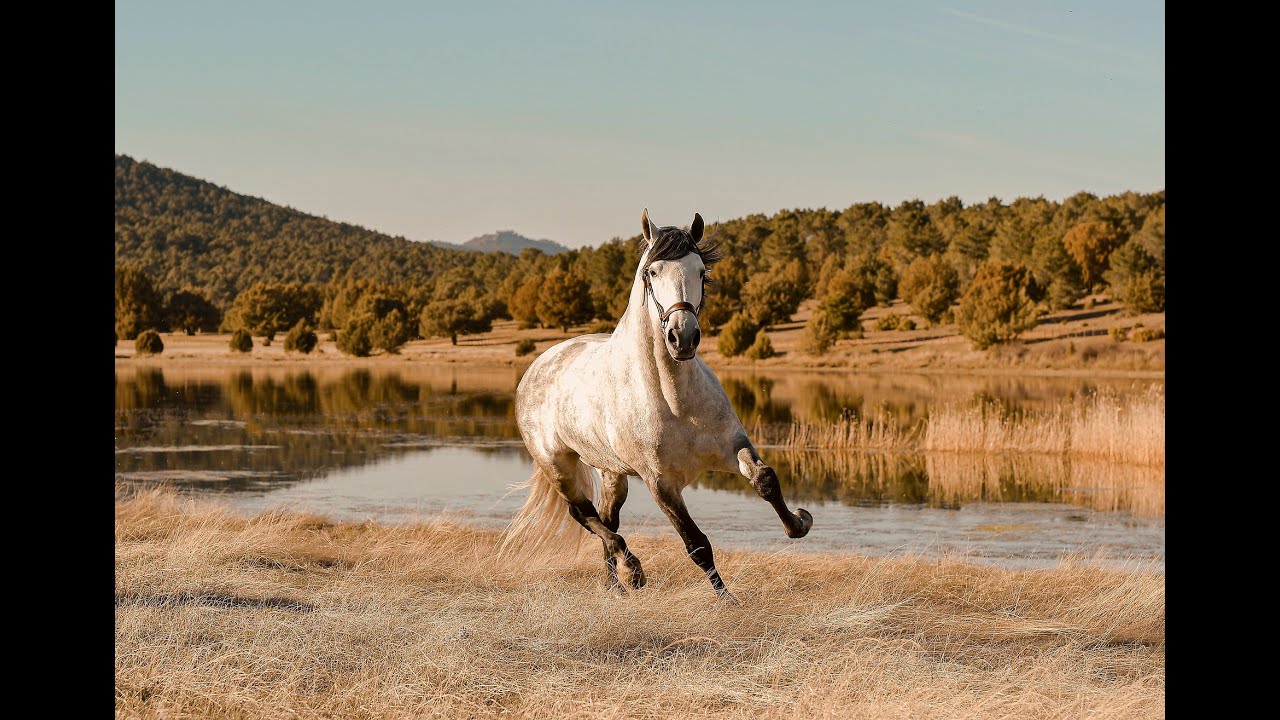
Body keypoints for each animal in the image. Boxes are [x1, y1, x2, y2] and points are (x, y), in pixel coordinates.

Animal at [501, 209, 813, 601]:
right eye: (652, 272)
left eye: (701, 271)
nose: (683, 337)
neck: (674, 399)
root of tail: (536, 367)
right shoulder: (661, 483)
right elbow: (697, 544)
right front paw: (729, 602)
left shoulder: (731, 447)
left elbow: (766, 480)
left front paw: (799, 522)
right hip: (558, 467)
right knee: (584, 515)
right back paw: (633, 571)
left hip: (613, 472)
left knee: (606, 518)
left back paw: (616, 585)